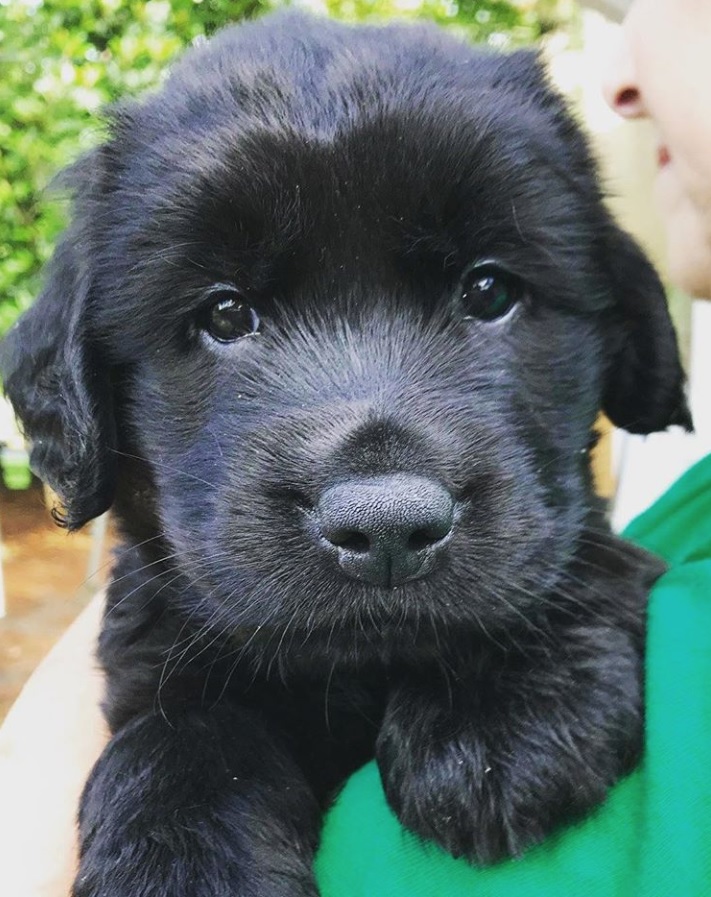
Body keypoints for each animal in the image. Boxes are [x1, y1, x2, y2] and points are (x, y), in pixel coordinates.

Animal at [2, 8, 692, 896]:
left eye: (489, 290)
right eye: (224, 314)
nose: (387, 529)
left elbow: (588, 557)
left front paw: (499, 709)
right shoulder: (155, 650)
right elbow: (175, 733)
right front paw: (180, 857)